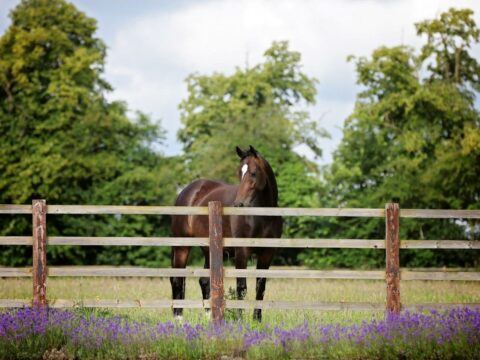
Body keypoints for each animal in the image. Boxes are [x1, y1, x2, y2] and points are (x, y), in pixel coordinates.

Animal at [170, 146, 282, 320]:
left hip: (209, 250)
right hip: (182, 246)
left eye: (253, 172)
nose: (239, 204)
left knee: (204, 281)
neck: (262, 216)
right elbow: (241, 287)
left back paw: (209, 317)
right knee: (177, 280)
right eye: (239, 172)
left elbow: (260, 287)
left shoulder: (267, 253)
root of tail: (186, 192)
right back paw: (178, 318)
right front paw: (240, 319)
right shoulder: (242, 252)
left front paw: (257, 319)